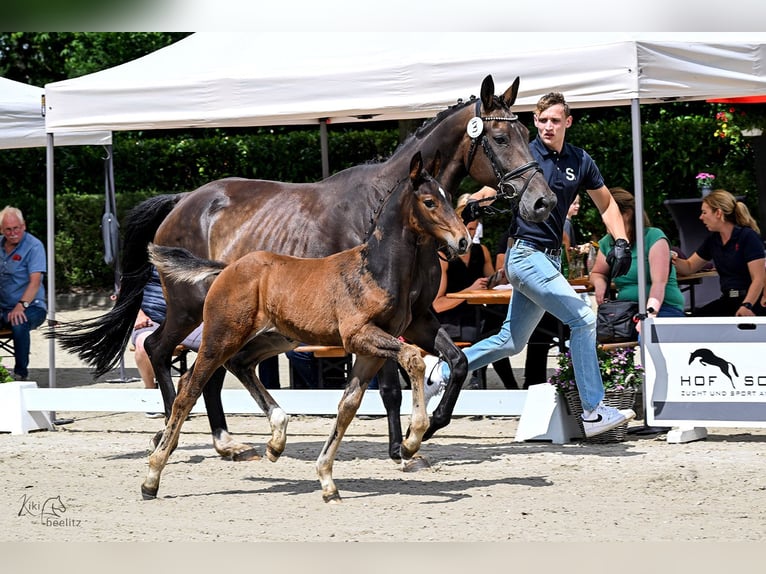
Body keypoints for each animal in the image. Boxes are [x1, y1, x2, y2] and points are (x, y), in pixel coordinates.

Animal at [54, 75, 556, 467]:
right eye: (500, 139)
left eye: (528, 132)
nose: (543, 201)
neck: (386, 214)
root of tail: (182, 202)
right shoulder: (373, 324)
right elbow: (390, 388)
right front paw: (400, 448)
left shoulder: (418, 318)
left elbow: (457, 363)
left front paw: (427, 429)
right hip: (190, 310)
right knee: (164, 353)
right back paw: (174, 434)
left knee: (206, 368)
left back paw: (225, 442)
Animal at [142, 151, 470, 502]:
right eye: (429, 202)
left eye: (448, 197)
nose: (462, 240)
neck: (377, 269)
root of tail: (227, 267)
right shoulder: (359, 337)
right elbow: (413, 359)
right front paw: (411, 441)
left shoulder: (373, 349)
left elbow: (348, 405)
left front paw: (327, 480)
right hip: (220, 335)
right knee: (188, 387)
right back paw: (153, 475)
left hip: (275, 339)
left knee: (237, 365)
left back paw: (275, 440)